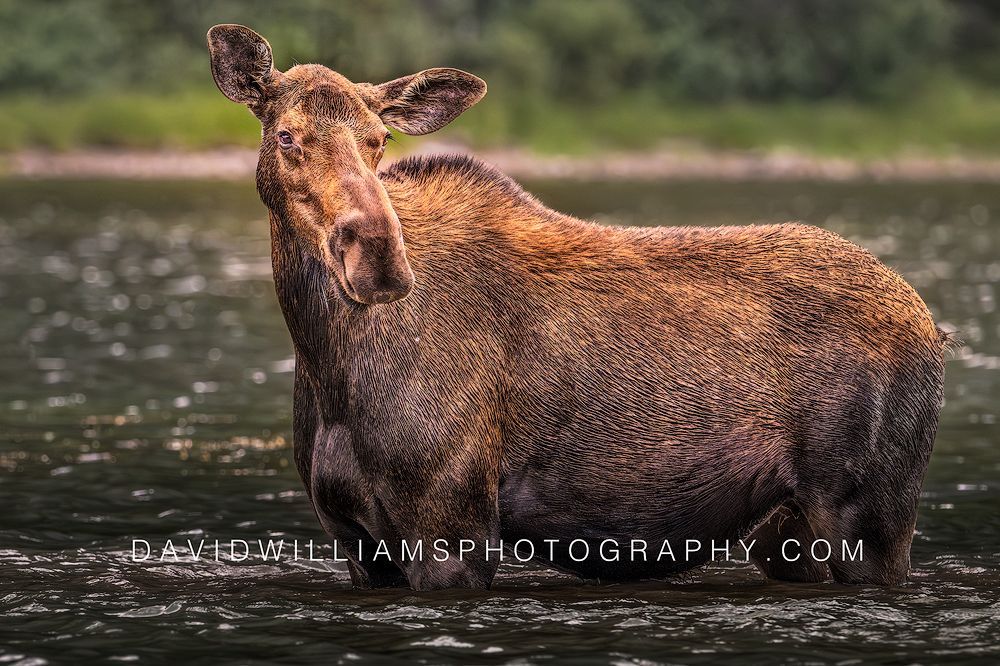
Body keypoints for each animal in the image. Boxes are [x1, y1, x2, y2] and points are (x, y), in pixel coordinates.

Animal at [207, 24, 946, 590]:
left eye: (378, 141)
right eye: (286, 136)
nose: (379, 256)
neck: (328, 364)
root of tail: (935, 329)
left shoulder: (452, 527)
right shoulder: (356, 542)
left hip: (869, 516)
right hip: (786, 532)